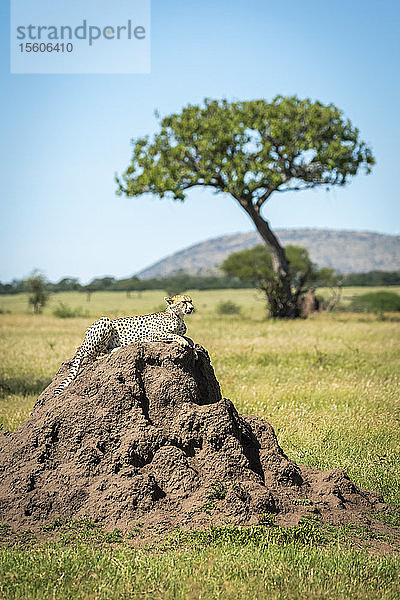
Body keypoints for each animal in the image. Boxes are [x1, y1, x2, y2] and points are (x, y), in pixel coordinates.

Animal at [53, 294, 197, 396]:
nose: (192, 308)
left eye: (191, 301)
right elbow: (174, 335)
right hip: (105, 321)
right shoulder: (152, 335)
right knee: (97, 355)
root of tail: (84, 339)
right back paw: (113, 350)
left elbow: (190, 339)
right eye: (184, 302)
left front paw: (193, 350)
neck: (177, 316)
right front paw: (182, 341)